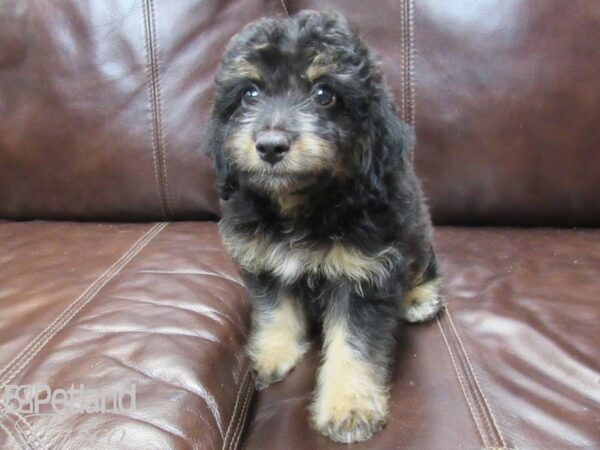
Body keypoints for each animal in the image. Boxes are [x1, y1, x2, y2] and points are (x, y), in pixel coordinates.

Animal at [209, 9, 442, 442]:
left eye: (324, 94)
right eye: (250, 94)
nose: (270, 145)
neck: (302, 206)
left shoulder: (365, 275)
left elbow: (353, 345)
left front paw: (349, 407)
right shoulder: (264, 261)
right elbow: (275, 311)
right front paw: (272, 353)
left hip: (416, 231)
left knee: (424, 263)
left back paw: (420, 297)